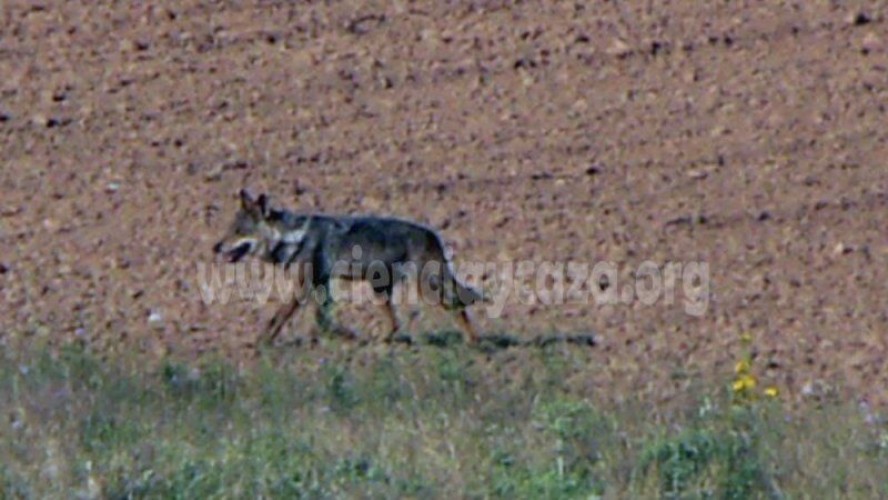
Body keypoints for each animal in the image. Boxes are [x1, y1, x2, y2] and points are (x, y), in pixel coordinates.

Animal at [212, 189, 490, 346]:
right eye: (230, 229)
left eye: (238, 231)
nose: (216, 246)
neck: (295, 236)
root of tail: (433, 234)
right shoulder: (321, 285)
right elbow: (322, 319)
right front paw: (343, 336)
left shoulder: (302, 288)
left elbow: (278, 317)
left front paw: (261, 342)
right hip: (381, 291)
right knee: (397, 323)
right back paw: (386, 341)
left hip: (426, 289)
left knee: (458, 308)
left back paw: (474, 342)